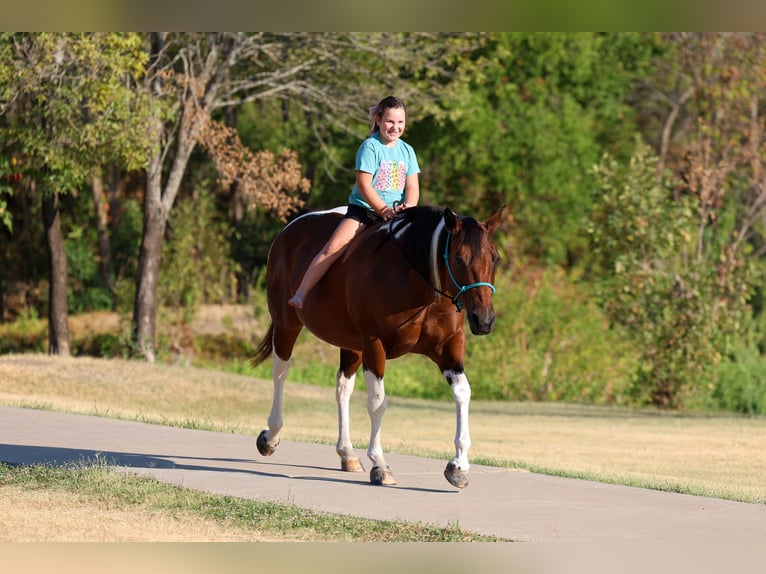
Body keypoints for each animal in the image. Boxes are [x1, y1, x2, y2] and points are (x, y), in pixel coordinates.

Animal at [252, 204, 503, 488]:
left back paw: (347, 452)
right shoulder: (375, 344)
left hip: (351, 344)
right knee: (280, 373)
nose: (484, 320)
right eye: (459, 259)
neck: (418, 281)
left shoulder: (449, 346)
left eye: (495, 258)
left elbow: (462, 393)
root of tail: (289, 229)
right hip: (287, 325)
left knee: (342, 388)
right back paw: (271, 435)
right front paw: (380, 464)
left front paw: (459, 466)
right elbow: (378, 403)